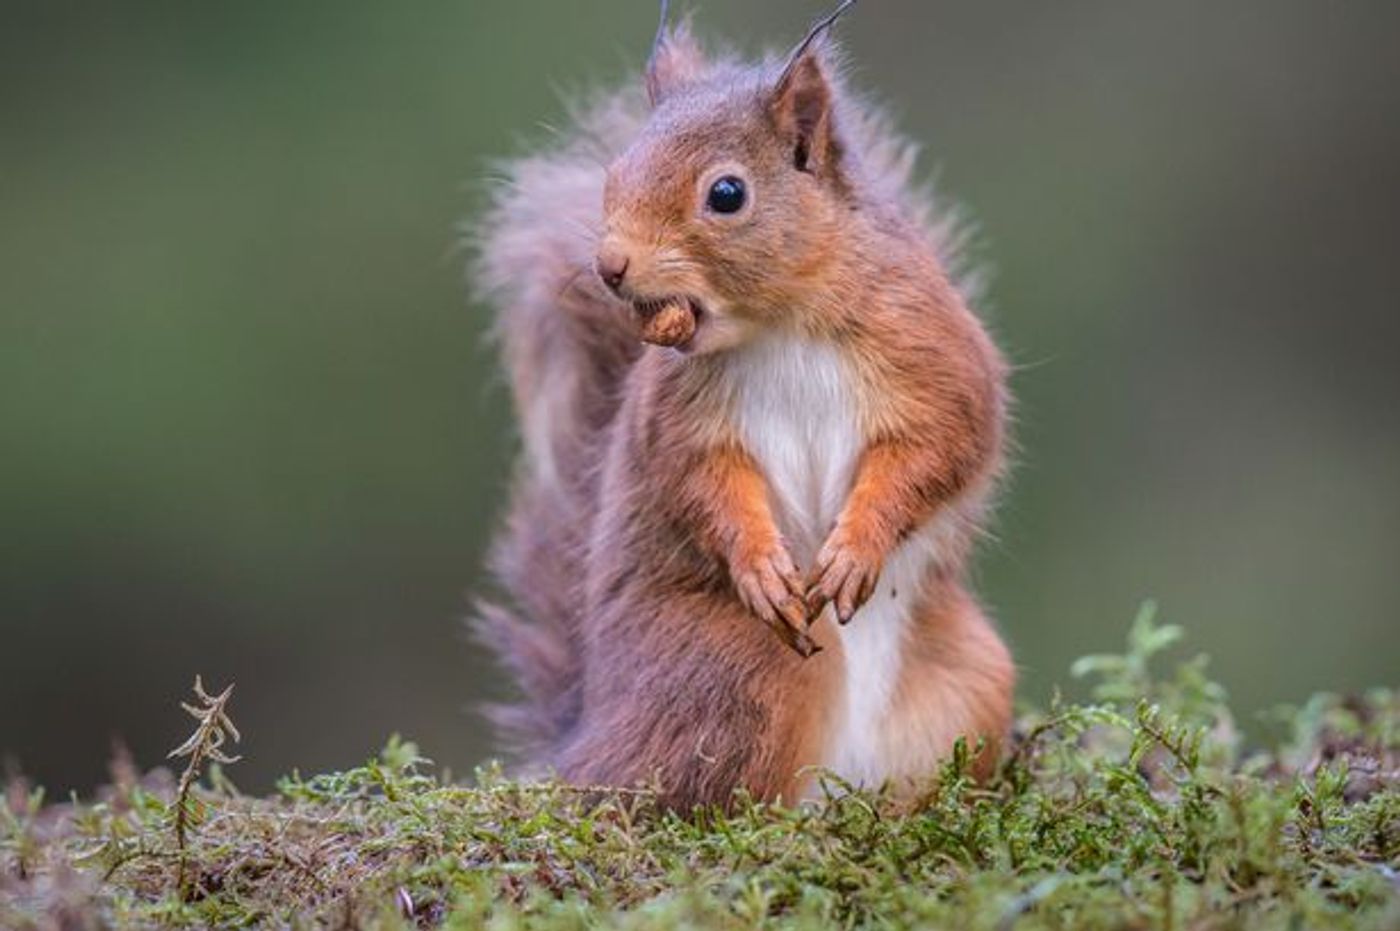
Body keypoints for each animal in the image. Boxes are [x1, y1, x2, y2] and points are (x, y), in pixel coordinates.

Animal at [476, 1, 1013, 806]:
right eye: (614, 173)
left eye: (726, 194)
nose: (609, 266)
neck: (782, 323)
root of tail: (585, 737)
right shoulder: (677, 415)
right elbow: (700, 480)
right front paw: (760, 565)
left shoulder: (932, 354)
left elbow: (938, 444)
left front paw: (855, 548)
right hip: (742, 666)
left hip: (970, 677)